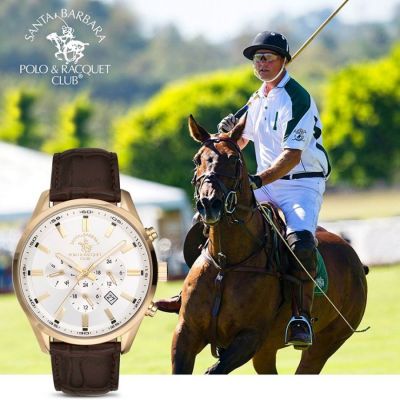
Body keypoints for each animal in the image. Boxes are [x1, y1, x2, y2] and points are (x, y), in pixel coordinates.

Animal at [171, 115, 368, 374]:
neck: (227, 262)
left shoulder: (249, 338)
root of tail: (355, 260)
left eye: (234, 159)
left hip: (327, 341)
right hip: (267, 350)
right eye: (197, 159)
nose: (209, 204)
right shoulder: (186, 333)